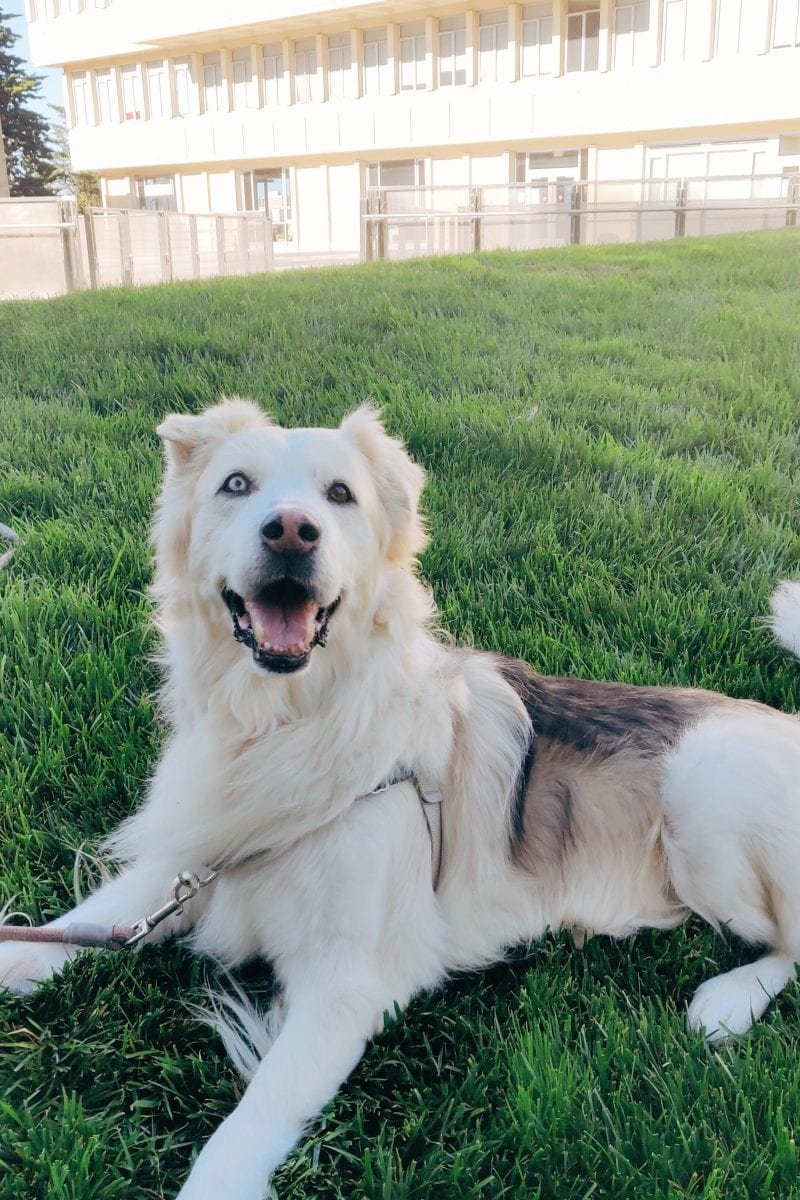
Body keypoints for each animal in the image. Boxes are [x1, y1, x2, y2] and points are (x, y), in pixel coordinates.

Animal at [1, 398, 800, 1195]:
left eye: (340, 494)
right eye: (236, 484)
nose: (291, 531)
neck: (283, 724)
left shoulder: (347, 984)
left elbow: (245, 1129)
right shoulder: (202, 855)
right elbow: (103, 912)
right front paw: (16, 961)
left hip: (706, 789)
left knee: (791, 943)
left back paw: (728, 1000)